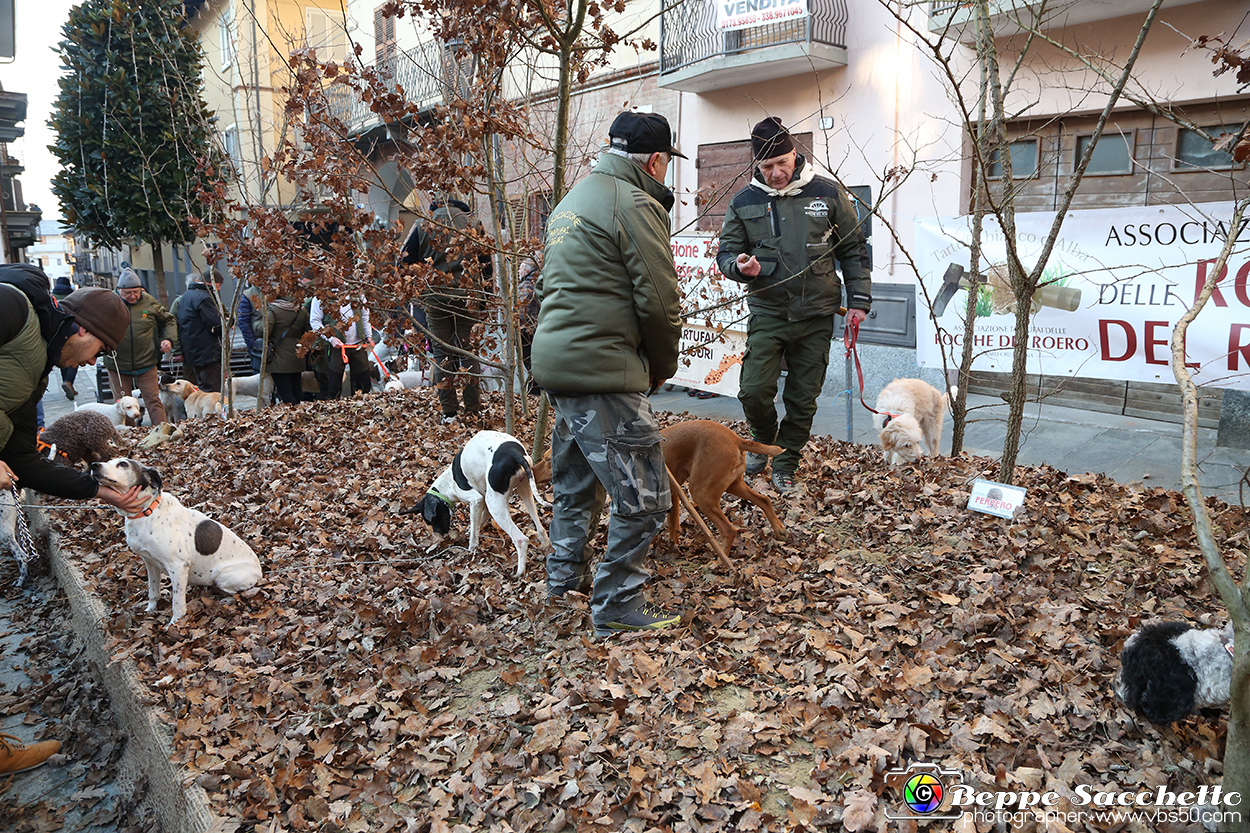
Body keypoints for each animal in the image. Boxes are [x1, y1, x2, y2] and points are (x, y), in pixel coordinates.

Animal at [91, 455, 265, 622]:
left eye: (123, 464)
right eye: (108, 461)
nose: (93, 465)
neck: (147, 512)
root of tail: (260, 572)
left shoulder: (178, 567)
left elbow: (177, 603)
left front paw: (175, 623)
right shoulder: (150, 563)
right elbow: (153, 591)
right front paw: (150, 610)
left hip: (224, 577)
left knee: (238, 593)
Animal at [405, 430, 552, 575]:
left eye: (434, 520)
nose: (439, 537)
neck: (448, 482)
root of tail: (513, 452)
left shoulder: (476, 500)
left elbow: (474, 531)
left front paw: (471, 549)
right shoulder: (484, 506)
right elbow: (477, 525)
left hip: (495, 505)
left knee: (521, 539)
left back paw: (519, 573)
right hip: (524, 489)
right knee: (540, 528)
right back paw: (546, 547)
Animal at [660, 422, 785, 550]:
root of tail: (736, 439)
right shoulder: (673, 494)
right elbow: (673, 523)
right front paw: (673, 546)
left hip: (701, 495)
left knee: (729, 530)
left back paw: (720, 555)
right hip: (734, 485)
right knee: (765, 500)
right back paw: (780, 531)